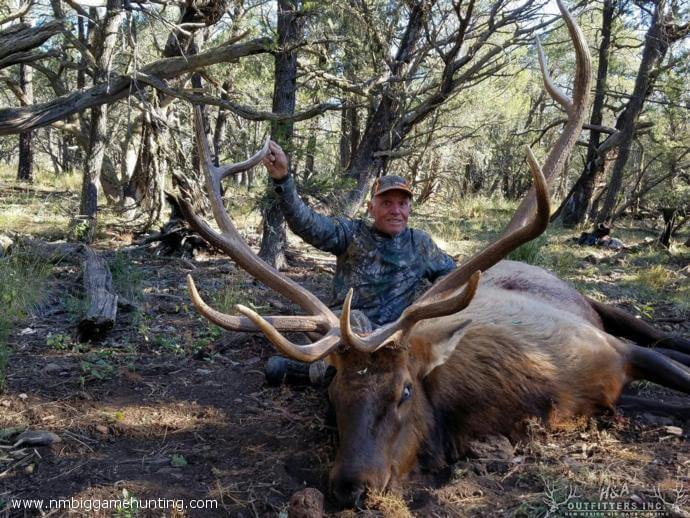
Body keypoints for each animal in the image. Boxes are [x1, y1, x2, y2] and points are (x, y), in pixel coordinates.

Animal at [176, 0, 690, 508]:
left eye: (405, 390)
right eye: (332, 392)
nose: (350, 487)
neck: (529, 394)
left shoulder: (615, 351)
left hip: (597, 306)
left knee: (661, 335)